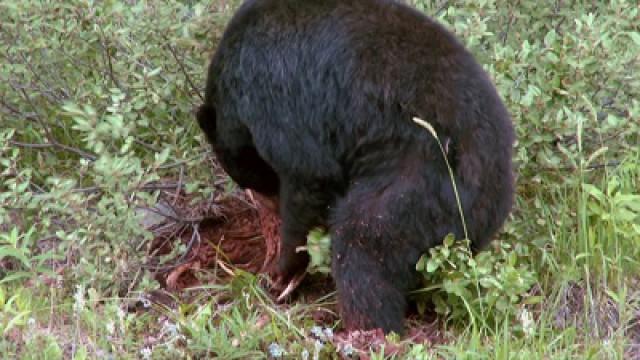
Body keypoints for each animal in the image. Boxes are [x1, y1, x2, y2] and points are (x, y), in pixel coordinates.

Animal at [195, 0, 516, 334]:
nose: (268, 211)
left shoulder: (271, 90)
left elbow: (308, 171)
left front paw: (282, 271)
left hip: (417, 185)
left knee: (362, 243)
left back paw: (366, 329)